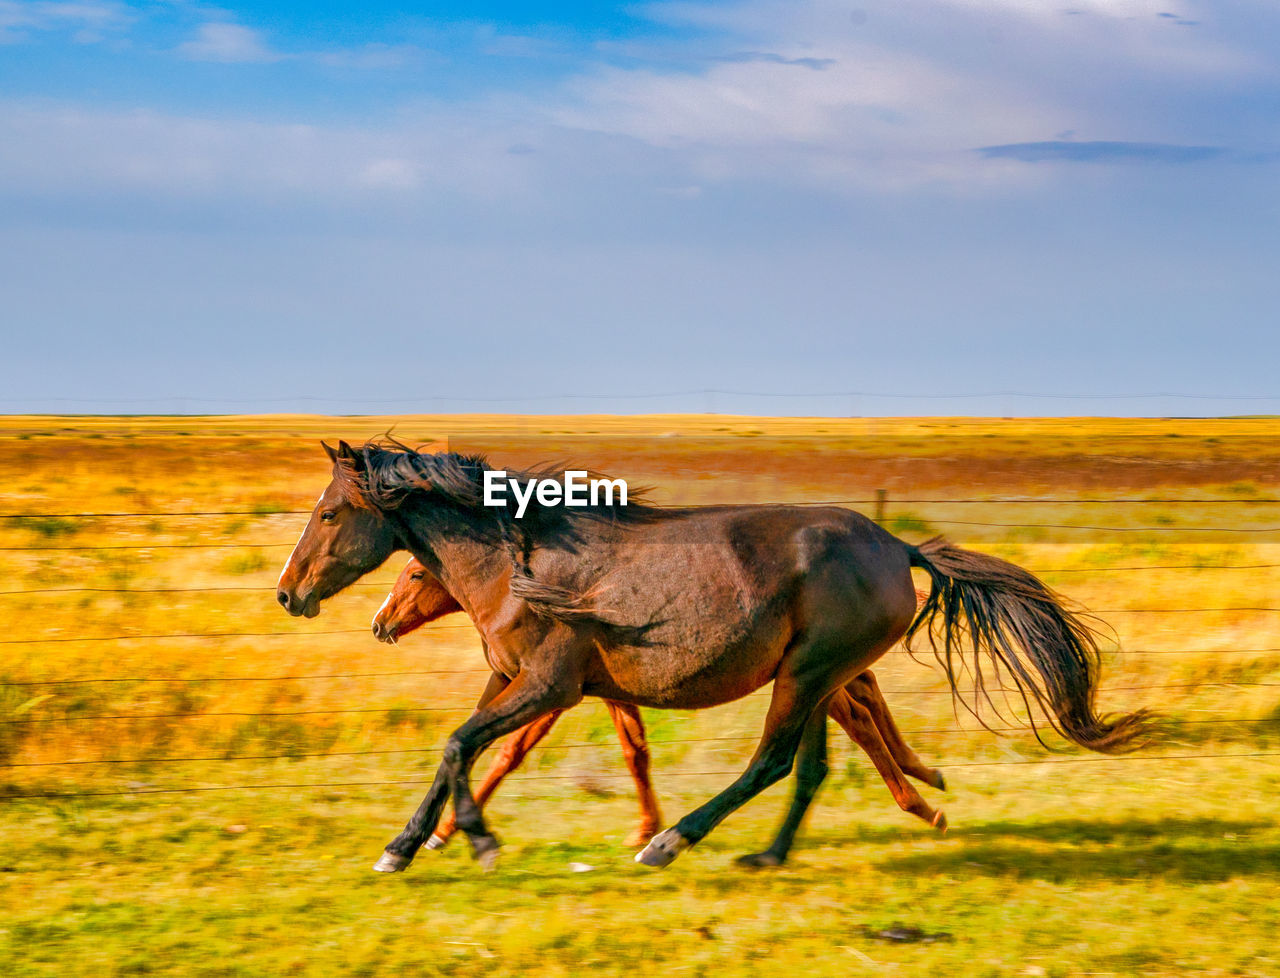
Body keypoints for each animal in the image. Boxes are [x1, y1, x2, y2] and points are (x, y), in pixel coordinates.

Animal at [373, 558, 952, 849]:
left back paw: (922, 801)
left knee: (854, 715)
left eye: (416, 574)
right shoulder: (609, 692)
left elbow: (506, 753)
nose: (380, 624)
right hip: (810, 674)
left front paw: (445, 831)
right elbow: (637, 752)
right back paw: (925, 782)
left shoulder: (555, 692)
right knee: (863, 694)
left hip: (803, 676)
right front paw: (647, 826)